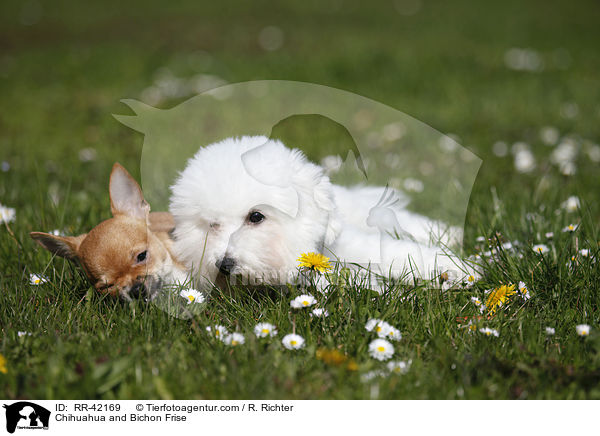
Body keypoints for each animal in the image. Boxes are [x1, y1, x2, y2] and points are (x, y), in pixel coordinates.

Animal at [169, 136, 478, 290]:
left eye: (256, 216)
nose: (224, 264)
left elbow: (403, 254)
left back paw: (450, 234)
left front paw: (459, 270)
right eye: (212, 224)